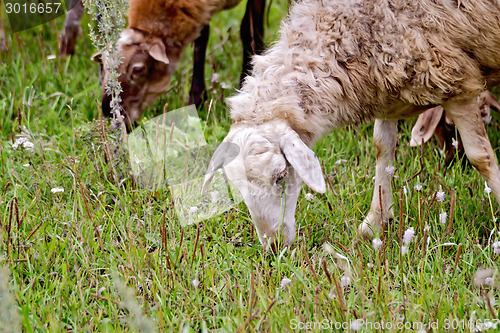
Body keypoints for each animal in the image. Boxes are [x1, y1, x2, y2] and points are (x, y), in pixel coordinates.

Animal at [94, 0, 266, 126]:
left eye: (138, 70)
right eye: (104, 67)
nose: (110, 114)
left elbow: (250, 31)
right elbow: (201, 37)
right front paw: (197, 100)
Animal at [202, 0, 500, 249]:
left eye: (281, 175)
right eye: (237, 188)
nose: (273, 246)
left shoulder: (455, 80)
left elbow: (480, 157)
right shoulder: (387, 83)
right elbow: (383, 151)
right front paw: (374, 223)